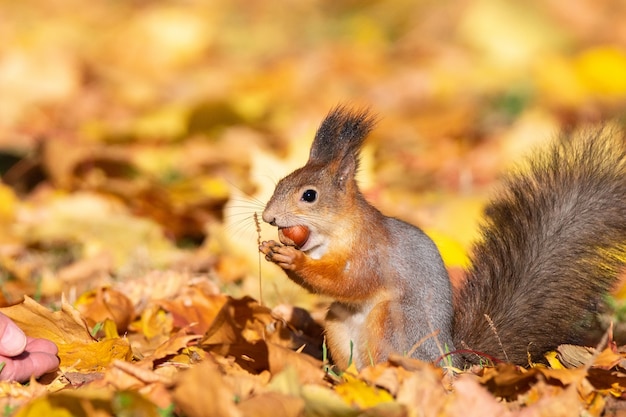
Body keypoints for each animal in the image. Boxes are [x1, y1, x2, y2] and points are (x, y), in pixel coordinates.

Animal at [258, 105, 624, 368]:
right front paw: (273, 249)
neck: (334, 235)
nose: (269, 217)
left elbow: (349, 281)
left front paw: (291, 258)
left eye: (309, 196)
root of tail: (449, 362)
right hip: (338, 323)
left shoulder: (372, 253)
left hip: (392, 321)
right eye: (280, 183)